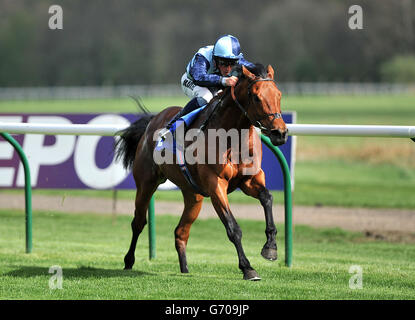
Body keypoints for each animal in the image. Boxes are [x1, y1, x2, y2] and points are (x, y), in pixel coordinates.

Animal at [115, 63, 288, 280]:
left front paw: (270, 247)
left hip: (192, 194)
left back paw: (185, 270)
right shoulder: (215, 184)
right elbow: (233, 228)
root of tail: (152, 121)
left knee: (181, 232)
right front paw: (247, 268)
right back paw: (128, 261)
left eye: (279, 94)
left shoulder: (250, 179)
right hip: (146, 183)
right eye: (256, 97)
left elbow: (267, 198)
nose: (279, 133)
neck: (231, 138)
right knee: (138, 222)